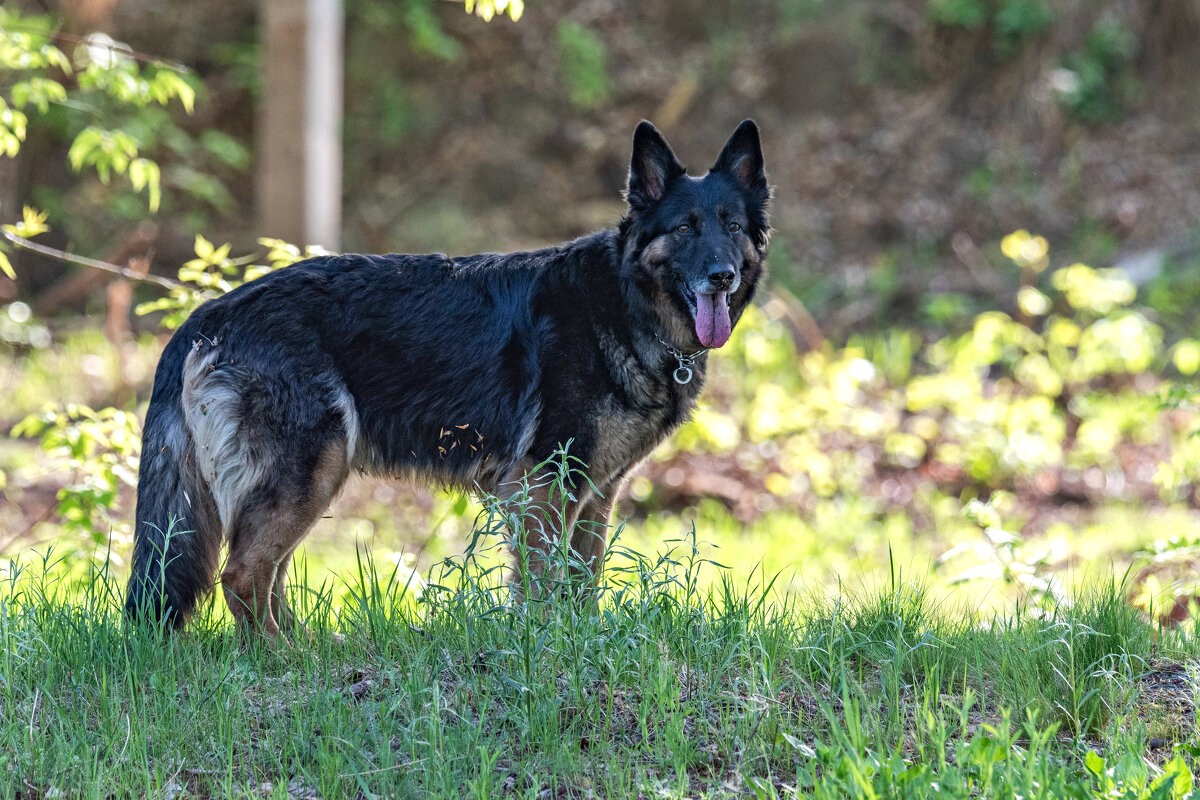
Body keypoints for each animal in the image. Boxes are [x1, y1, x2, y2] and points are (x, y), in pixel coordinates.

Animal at [126, 118, 772, 633]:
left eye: (733, 227)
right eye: (685, 228)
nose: (722, 276)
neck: (623, 300)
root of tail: (205, 317)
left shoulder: (593, 493)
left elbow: (582, 583)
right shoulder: (544, 486)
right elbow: (544, 587)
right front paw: (549, 650)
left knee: (266, 573)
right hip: (311, 468)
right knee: (243, 575)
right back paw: (284, 662)